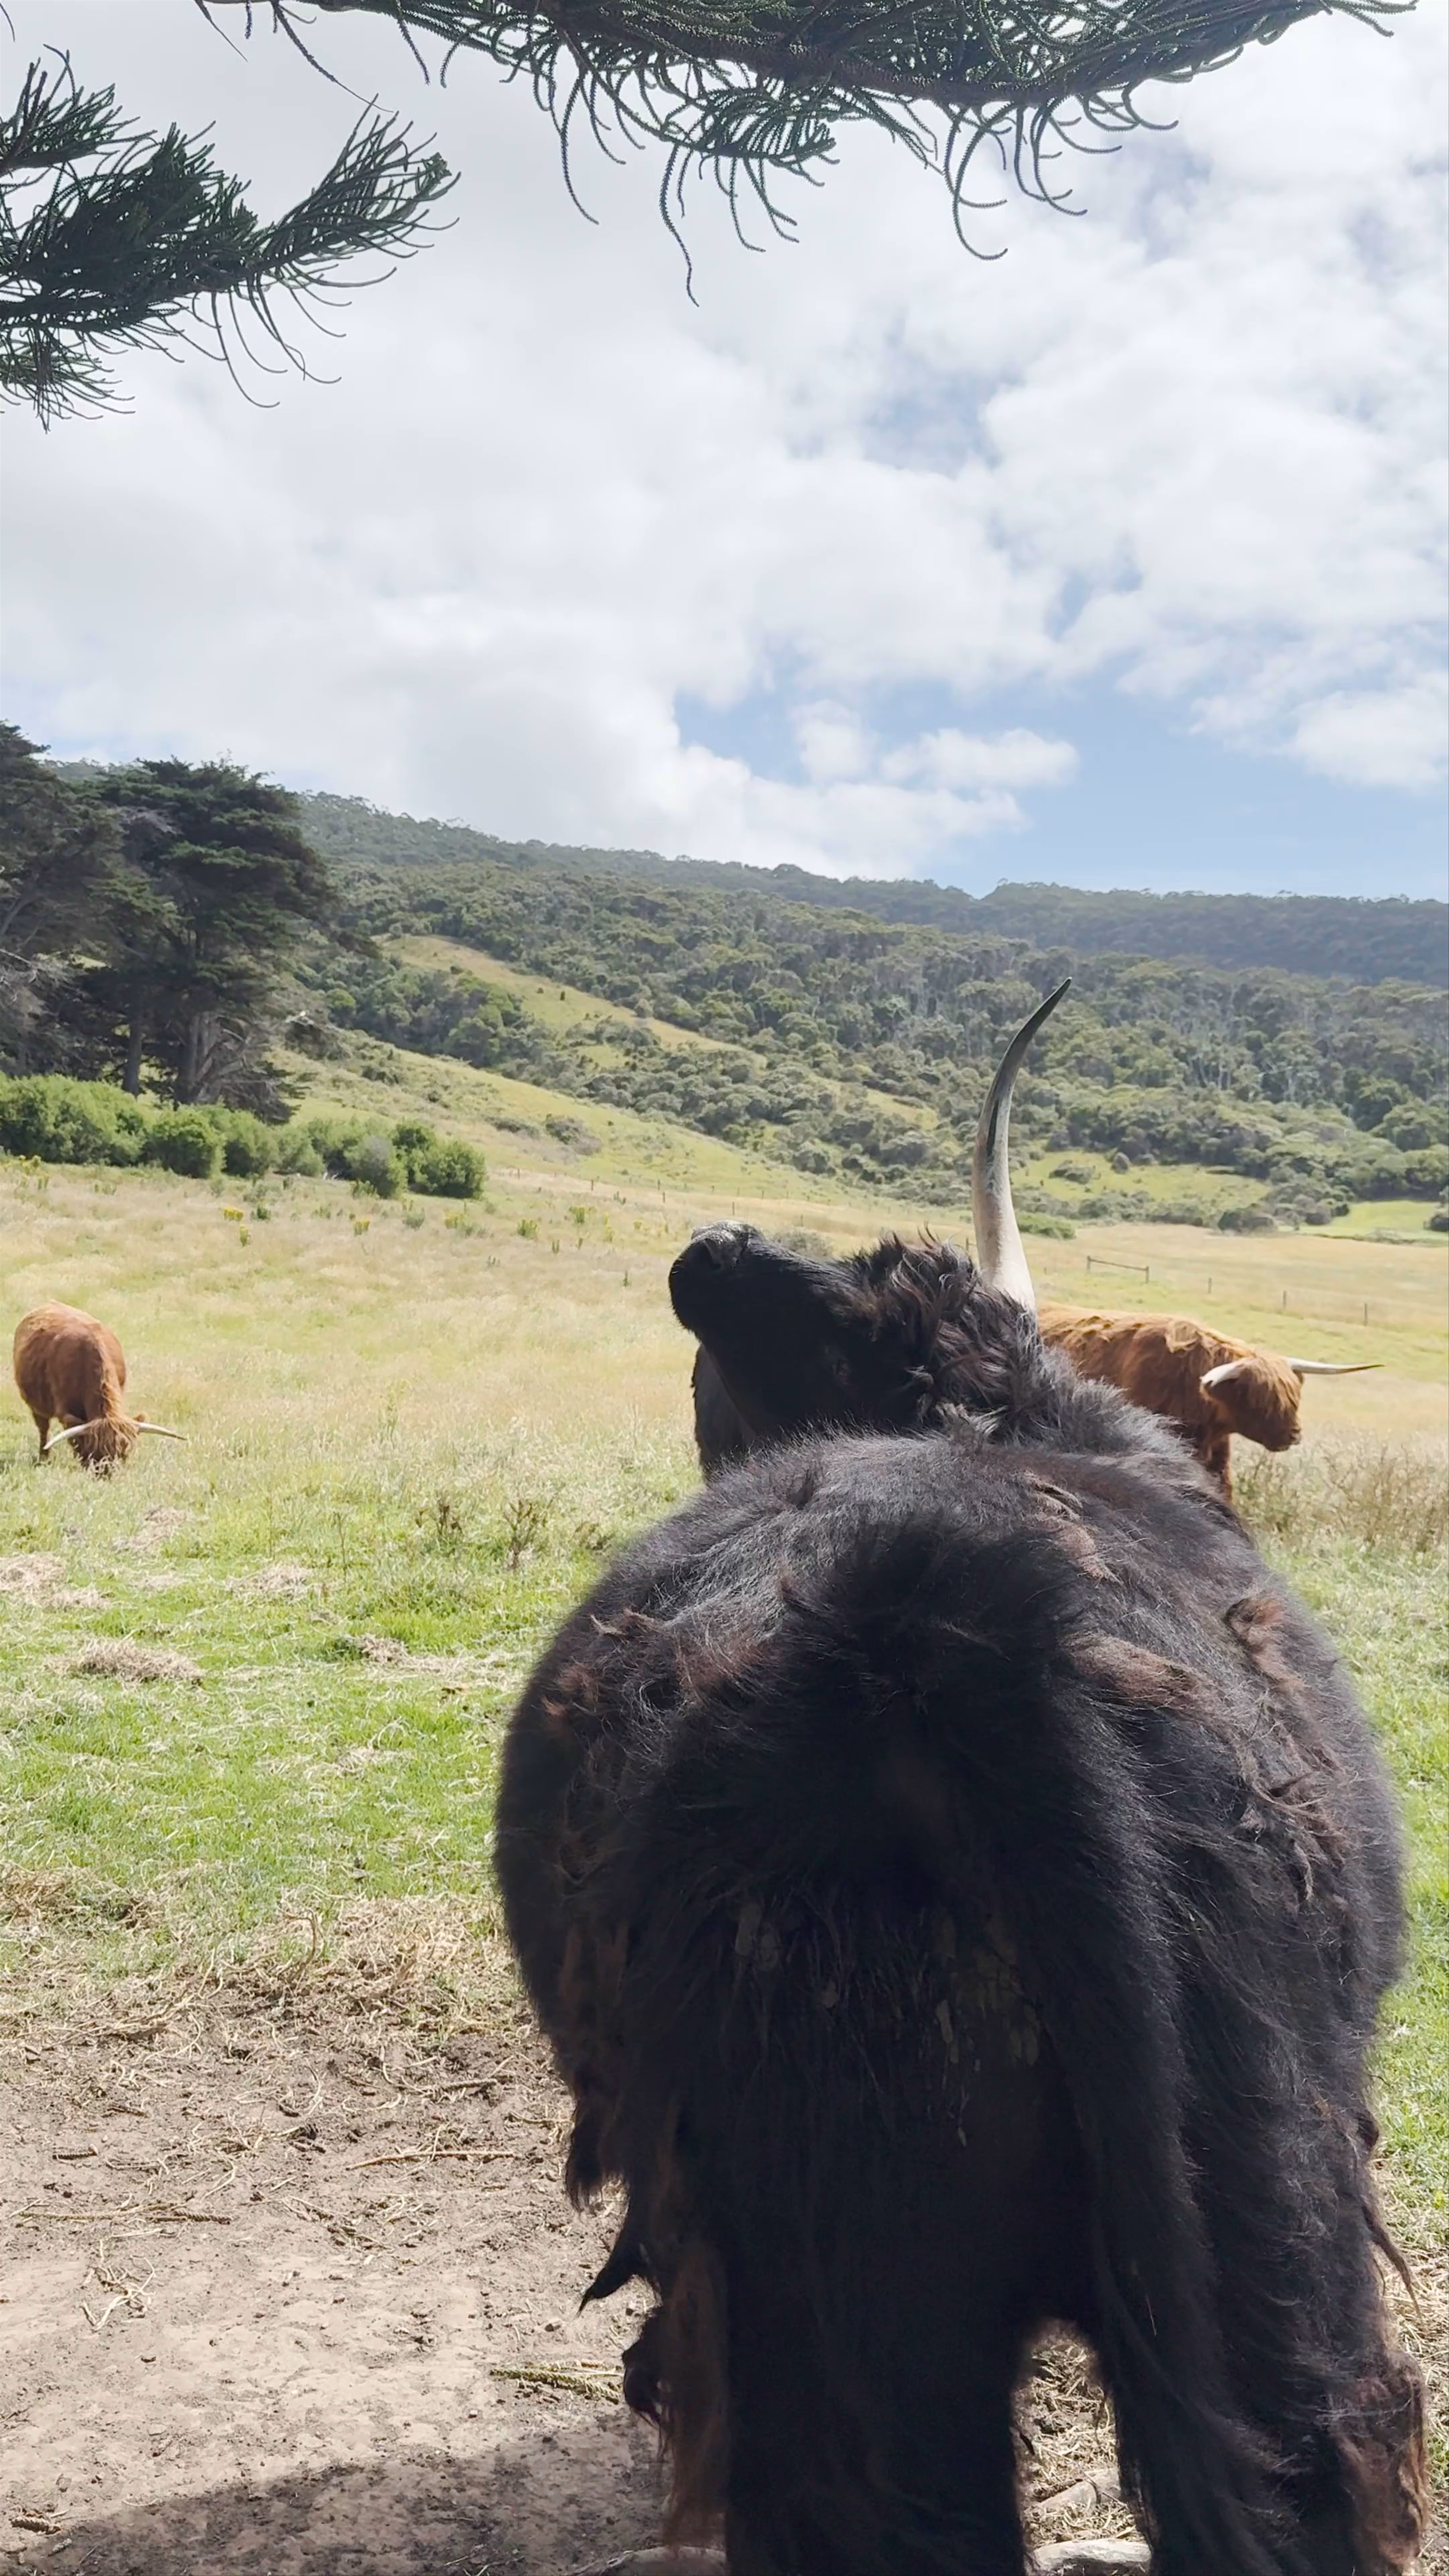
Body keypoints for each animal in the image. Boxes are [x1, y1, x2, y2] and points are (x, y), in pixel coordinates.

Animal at [13, 1304, 185, 1472]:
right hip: (36, 1405)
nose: (107, 1475)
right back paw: (43, 1458)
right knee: (43, 1429)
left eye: (124, 1454)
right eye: (96, 1452)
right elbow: (76, 1441)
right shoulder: (66, 1411)